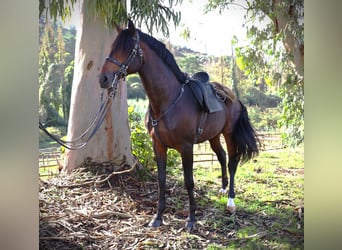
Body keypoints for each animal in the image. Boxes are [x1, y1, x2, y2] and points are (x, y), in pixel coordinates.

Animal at [97, 20, 258, 229]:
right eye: (113, 47)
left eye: (128, 49)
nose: (104, 79)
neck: (168, 101)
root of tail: (234, 98)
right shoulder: (158, 145)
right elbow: (161, 180)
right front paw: (157, 217)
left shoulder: (186, 147)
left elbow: (189, 181)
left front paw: (191, 220)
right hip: (213, 136)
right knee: (222, 156)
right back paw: (223, 189)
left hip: (229, 134)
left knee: (232, 161)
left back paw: (230, 201)